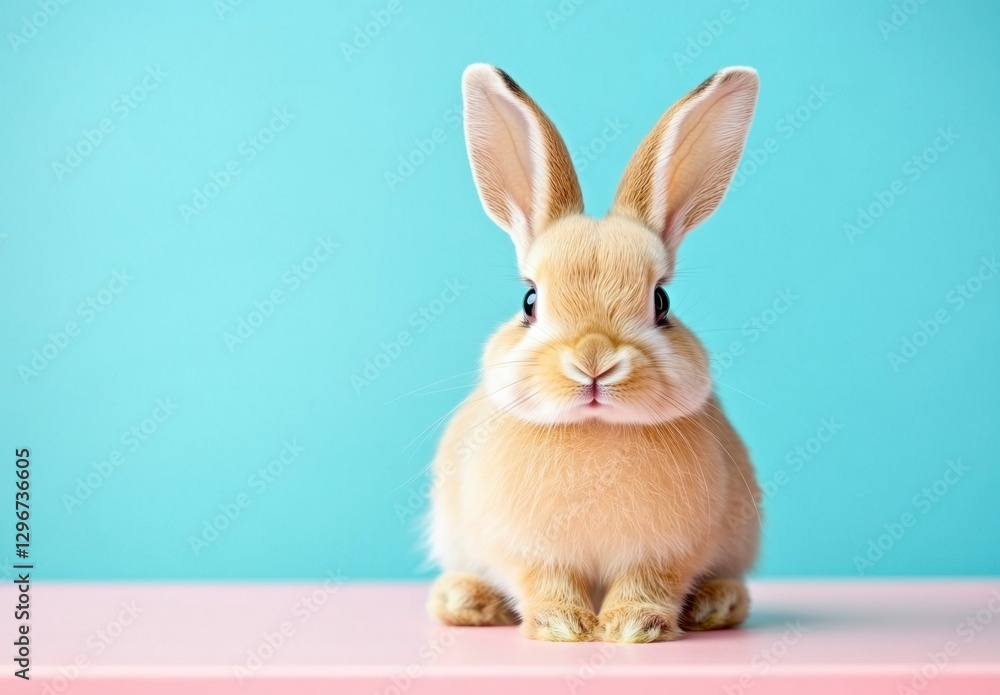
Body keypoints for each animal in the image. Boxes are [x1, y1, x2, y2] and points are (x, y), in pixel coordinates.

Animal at [426, 63, 762, 643]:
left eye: (661, 302)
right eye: (529, 301)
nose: (594, 360)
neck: (595, 429)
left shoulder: (665, 553)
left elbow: (648, 583)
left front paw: (634, 627)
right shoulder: (529, 552)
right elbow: (546, 582)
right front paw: (563, 626)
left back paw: (715, 605)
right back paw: (466, 600)